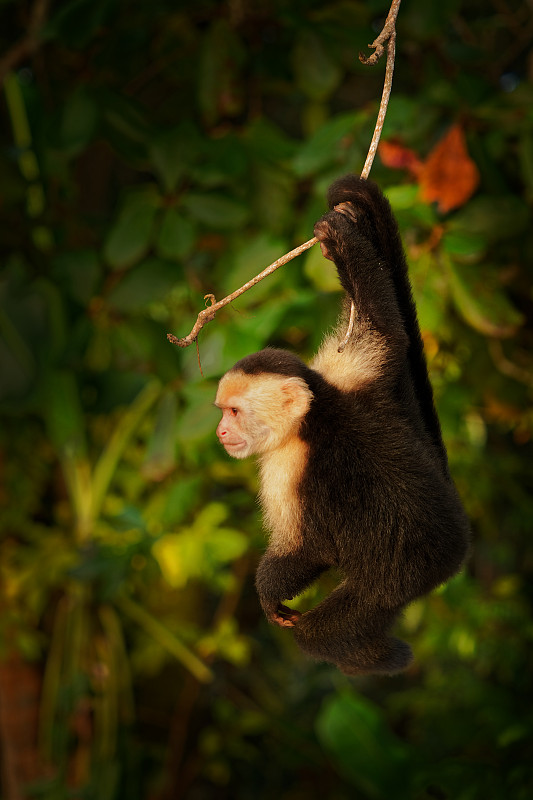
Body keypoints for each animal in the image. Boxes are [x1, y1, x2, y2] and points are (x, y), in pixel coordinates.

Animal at [214, 175, 468, 676]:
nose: (219, 432)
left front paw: (269, 592)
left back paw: (371, 656)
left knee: (328, 629)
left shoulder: (288, 466)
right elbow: (384, 324)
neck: (315, 413)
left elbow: (311, 550)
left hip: (400, 578)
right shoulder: (348, 373)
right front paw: (346, 234)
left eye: (232, 412)